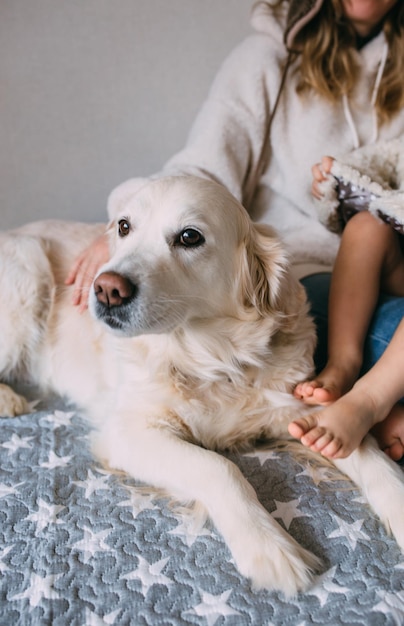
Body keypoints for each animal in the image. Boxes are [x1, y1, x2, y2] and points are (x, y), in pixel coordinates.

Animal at [0, 176, 404, 596]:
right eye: (124, 226)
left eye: (189, 236)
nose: (106, 288)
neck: (211, 360)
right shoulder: (127, 431)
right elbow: (218, 467)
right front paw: (267, 544)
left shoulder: (300, 408)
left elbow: (371, 454)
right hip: (29, 272)